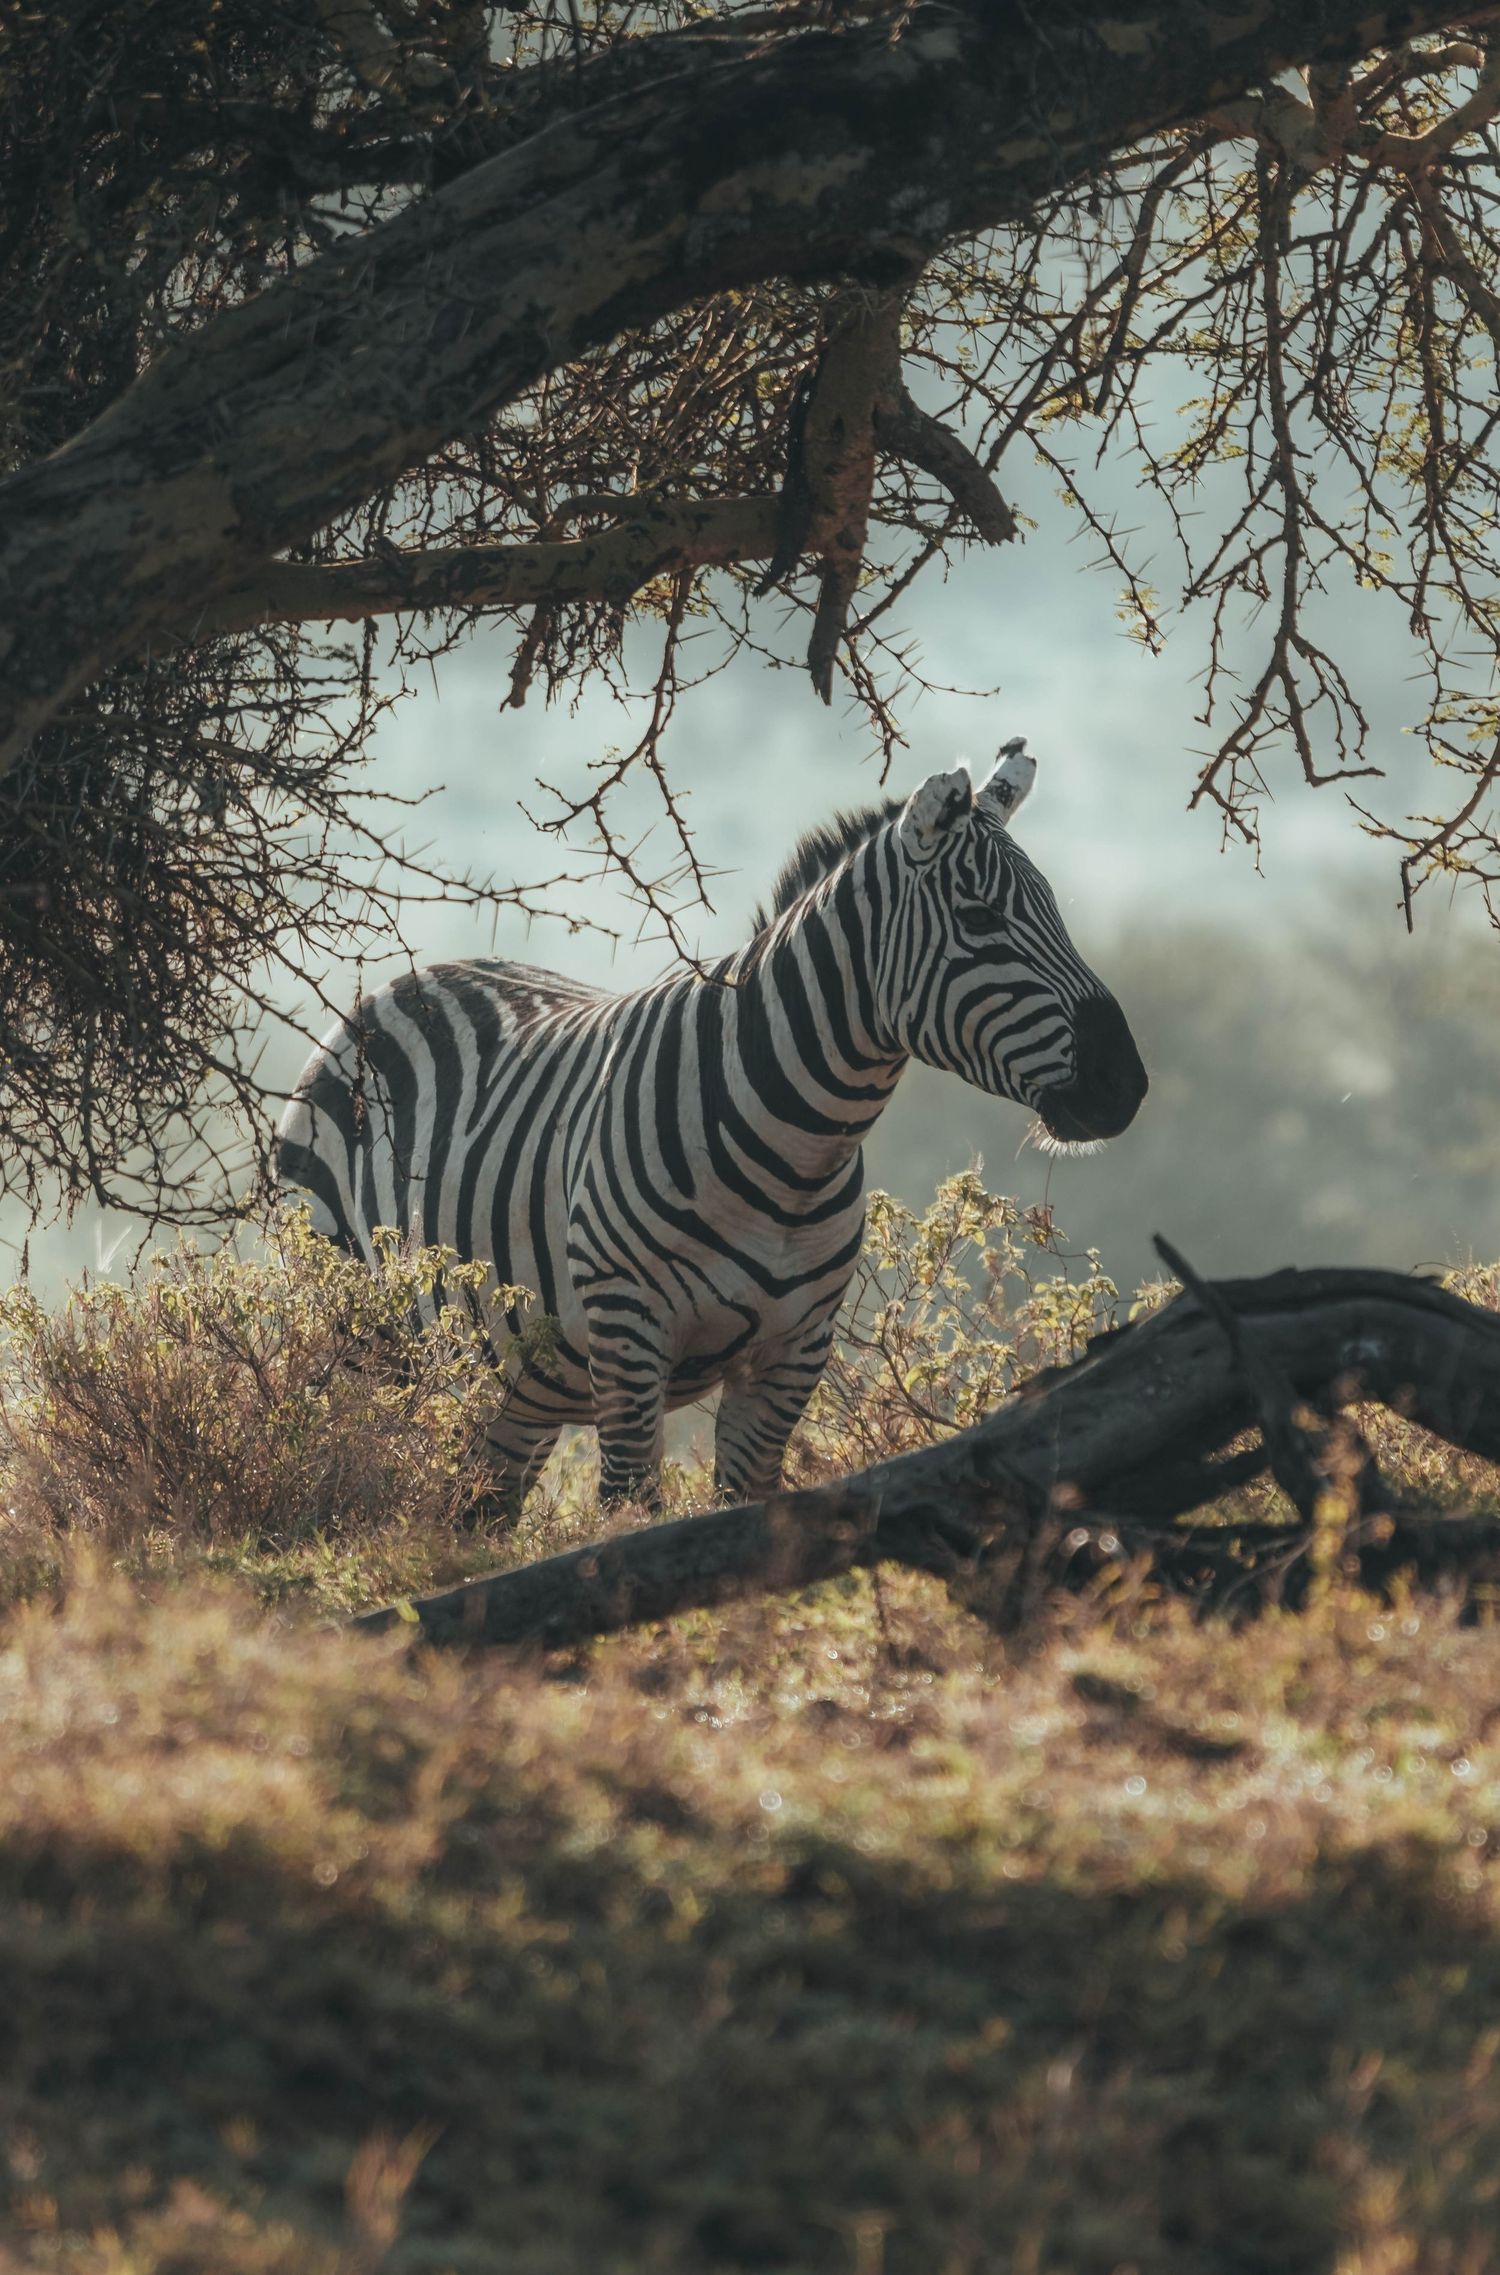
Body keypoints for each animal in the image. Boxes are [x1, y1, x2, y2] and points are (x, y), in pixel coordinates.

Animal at [276, 740, 1146, 1513]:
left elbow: (745, 1514)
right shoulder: (628, 1333)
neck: (800, 1147)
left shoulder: (794, 1351)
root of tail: (407, 979)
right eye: (979, 916)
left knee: (476, 1509)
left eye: (1057, 911)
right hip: (358, 1333)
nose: (1127, 1084)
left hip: (514, 1383)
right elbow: (629, 1512)